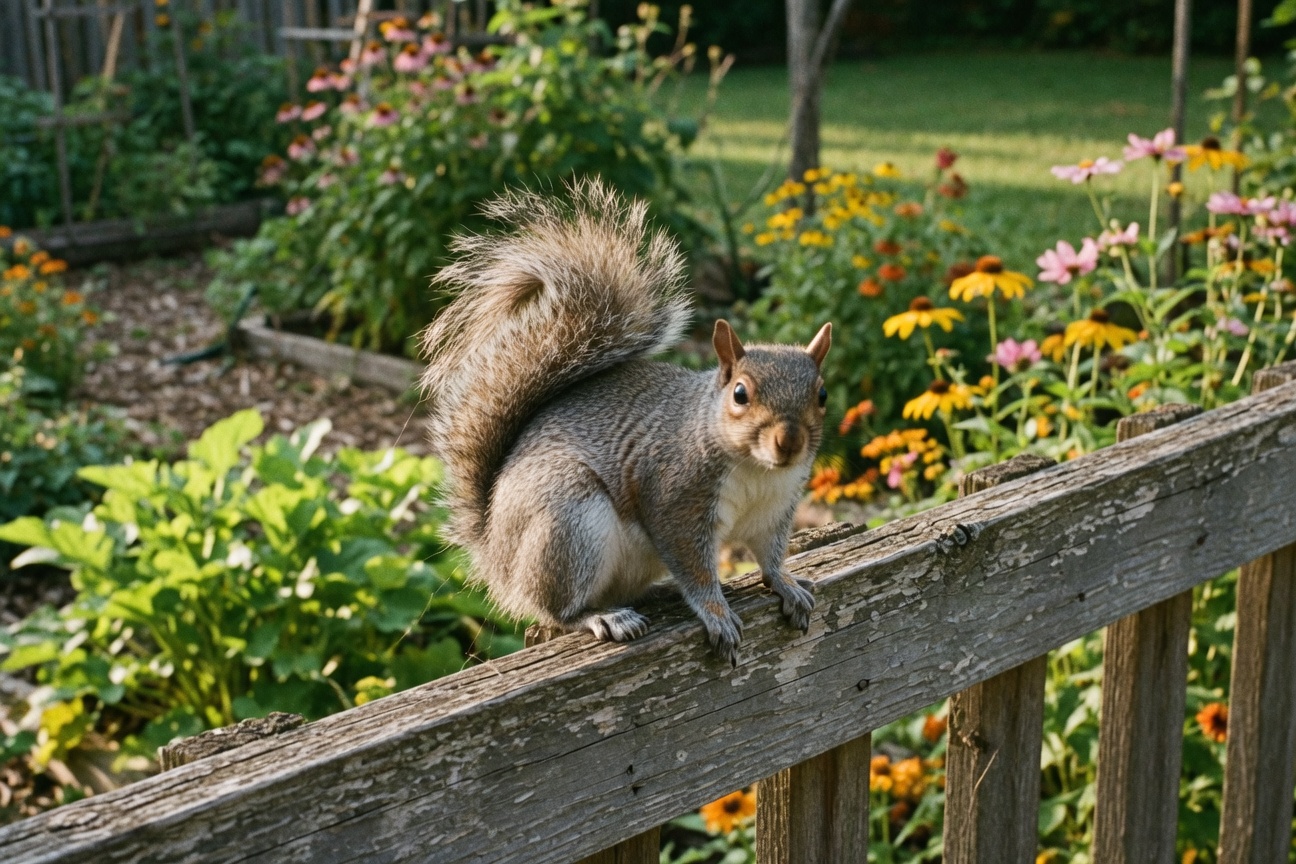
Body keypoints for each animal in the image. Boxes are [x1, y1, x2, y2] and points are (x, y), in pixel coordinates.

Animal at [419, 180, 832, 665]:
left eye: (822, 395)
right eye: (740, 394)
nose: (789, 442)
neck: (756, 470)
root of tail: (497, 559)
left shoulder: (774, 510)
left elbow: (770, 557)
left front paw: (786, 585)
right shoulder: (675, 499)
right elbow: (694, 567)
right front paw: (716, 613)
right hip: (568, 526)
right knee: (556, 609)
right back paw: (602, 617)